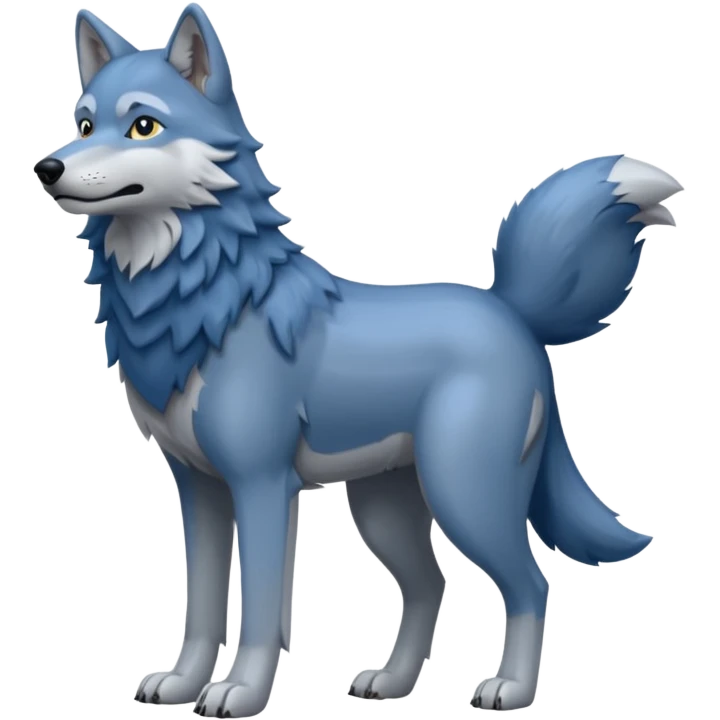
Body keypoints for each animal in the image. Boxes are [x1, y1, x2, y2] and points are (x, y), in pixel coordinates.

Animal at [33, 4, 678, 717]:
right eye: (83, 124)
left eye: (143, 125)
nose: (48, 169)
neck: (206, 303)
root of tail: (507, 307)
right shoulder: (199, 488)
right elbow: (201, 604)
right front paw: (181, 682)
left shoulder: (262, 485)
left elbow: (261, 607)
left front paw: (240, 692)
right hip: (383, 509)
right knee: (430, 586)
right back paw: (392, 684)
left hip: (464, 493)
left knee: (531, 584)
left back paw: (508, 689)